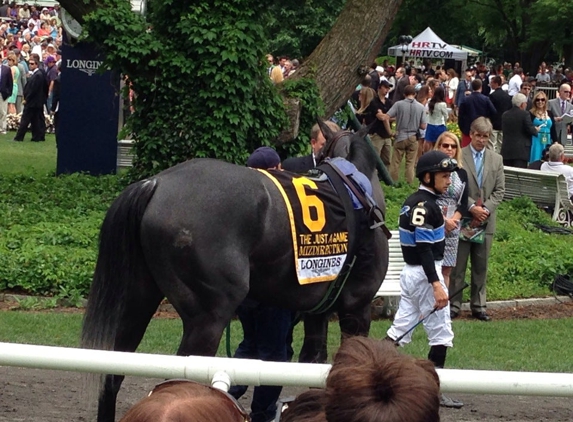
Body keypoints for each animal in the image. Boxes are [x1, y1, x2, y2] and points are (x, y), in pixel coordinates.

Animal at [80, 123, 388, 422]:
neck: (355, 185)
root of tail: (154, 184)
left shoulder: (317, 313)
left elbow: (314, 365)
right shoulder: (357, 308)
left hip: (136, 301)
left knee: (111, 375)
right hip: (208, 317)